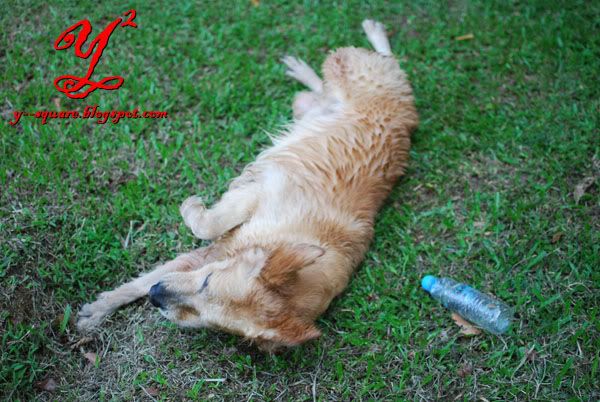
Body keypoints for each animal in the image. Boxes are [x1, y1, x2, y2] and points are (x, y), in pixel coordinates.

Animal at [77, 20, 418, 351]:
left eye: (205, 319)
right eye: (207, 281)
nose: (156, 296)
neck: (287, 238)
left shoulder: (206, 256)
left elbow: (152, 273)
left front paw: (102, 306)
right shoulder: (258, 193)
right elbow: (205, 226)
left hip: (314, 99)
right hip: (342, 64)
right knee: (384, 62)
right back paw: (368, 33)